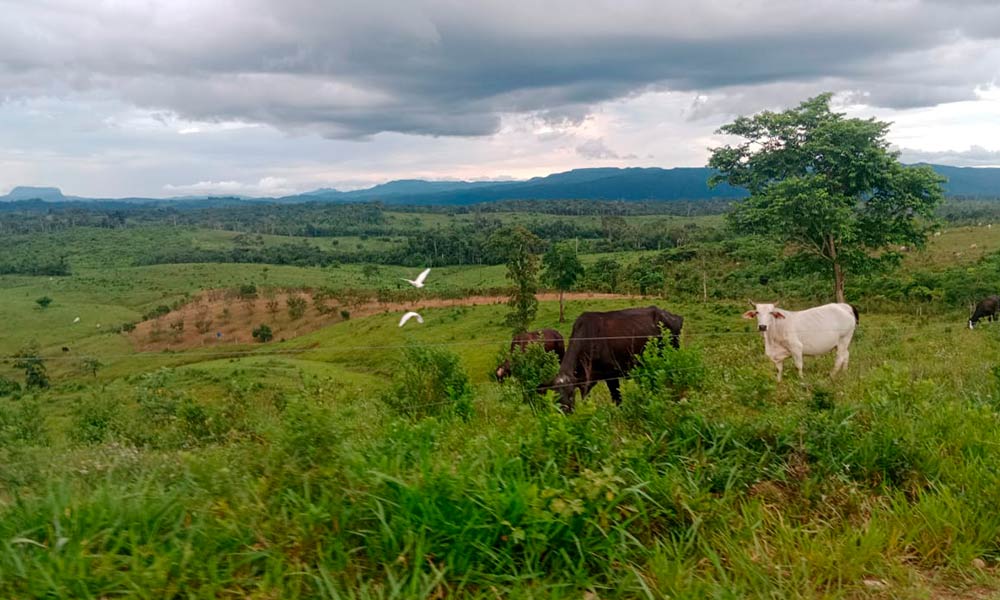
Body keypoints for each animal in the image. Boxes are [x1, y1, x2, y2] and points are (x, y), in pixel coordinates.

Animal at [552, 304, 684, 412]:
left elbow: (617, 399)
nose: (566, 413)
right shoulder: (585, 381)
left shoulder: (611, 374)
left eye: (570, 395)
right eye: (556, 398)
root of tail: (674, 317)